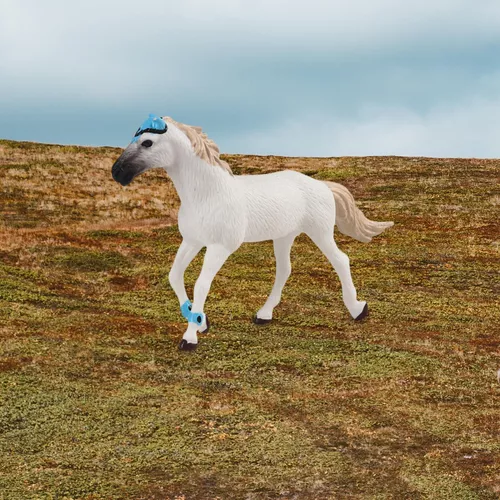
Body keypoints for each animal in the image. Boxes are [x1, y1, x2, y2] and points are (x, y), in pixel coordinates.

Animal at [110, 114, 394, 350]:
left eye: (147, 142)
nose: (117, 172)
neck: (207, 194)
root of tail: (321, 185)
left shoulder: (219, 247)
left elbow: (201, 284)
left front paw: (190, 337)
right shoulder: (192, 241)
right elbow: (175, 276)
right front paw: (200, 321)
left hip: (320, 232)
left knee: (340, 260)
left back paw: (358, 309)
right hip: (284, 236)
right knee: (285, 270)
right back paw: (264, 314)